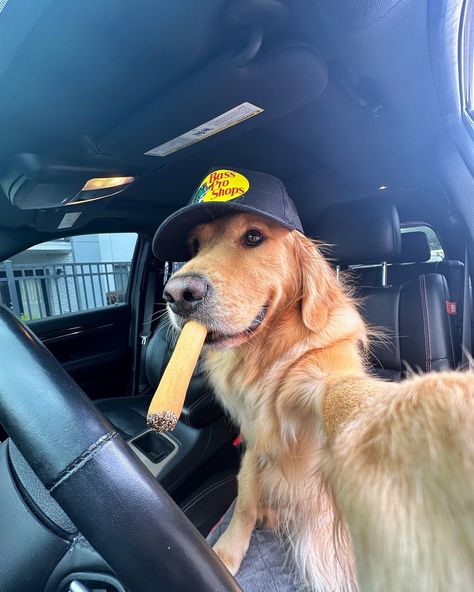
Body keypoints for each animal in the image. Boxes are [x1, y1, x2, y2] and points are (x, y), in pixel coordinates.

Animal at [164, 213, 474, 592]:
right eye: (196, 246)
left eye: (253, 236)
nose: (177, 294)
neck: (266, 352)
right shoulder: (253, 441)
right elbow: (246, 496)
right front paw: (228, 548)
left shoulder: (319, 381)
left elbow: (351, 397)